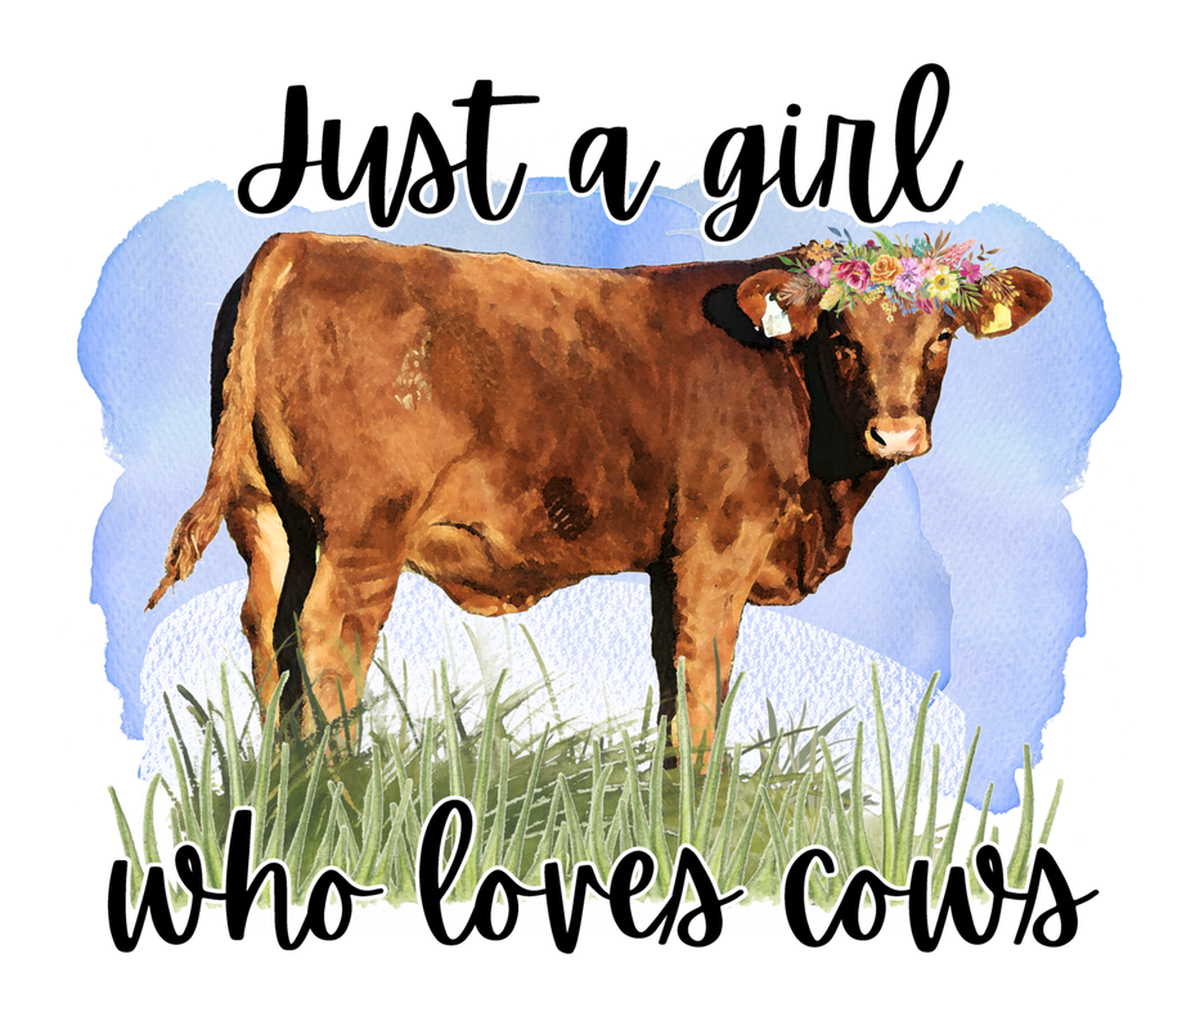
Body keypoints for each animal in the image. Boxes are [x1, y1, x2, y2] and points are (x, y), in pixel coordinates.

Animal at [147, 232, 1051, 761]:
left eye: (941, 335)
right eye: (841, 336)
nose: (896, 433)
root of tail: (299, 242)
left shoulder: (670, 559)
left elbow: (668, 671)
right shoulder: (719, 543)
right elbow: (702, 670)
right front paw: (699, 810)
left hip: (268, 516)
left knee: (269, 633)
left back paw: (287, 793)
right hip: (364, 526)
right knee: (329, 639)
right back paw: (342, 792)